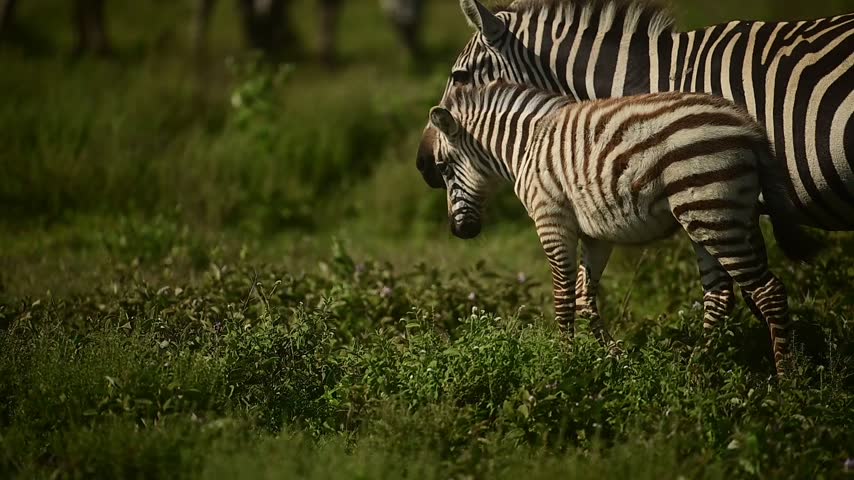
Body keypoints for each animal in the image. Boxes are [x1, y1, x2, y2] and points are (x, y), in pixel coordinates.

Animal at [420, 79, 820, 374]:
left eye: (443, 169)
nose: (459, 232)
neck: (525, 147)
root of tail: (749, 127)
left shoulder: (552, 219)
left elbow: (563, 297)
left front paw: (565, 365)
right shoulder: (596, 234)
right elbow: (584, 296)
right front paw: (614, 359)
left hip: (711, 211)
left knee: (768, 291)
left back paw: (786, 381)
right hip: (718, 215)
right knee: (721, 296)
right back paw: (695, 372)